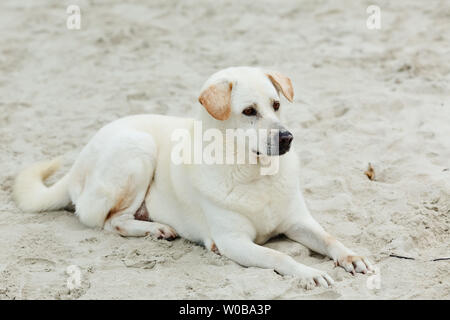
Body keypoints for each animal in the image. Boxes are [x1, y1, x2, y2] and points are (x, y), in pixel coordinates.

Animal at [14, 67, 372, 288]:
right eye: (249, 111)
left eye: (276, 104)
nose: (287, 138)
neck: (255, 173)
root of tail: (77, 162)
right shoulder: (232, 242)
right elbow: (278, 255)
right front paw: (308, 273)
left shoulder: (298, 221)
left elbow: (329, 238)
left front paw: (351, 258)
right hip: (137, 149)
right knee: (109, 221)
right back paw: (155, 228)